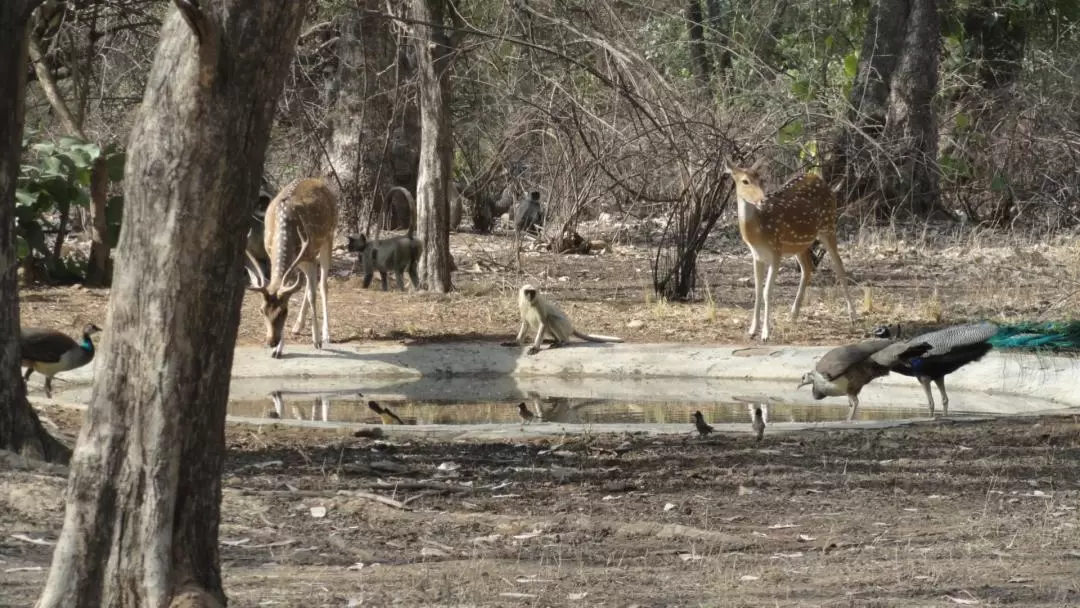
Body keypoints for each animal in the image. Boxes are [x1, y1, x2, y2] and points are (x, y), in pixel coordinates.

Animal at [245, 177, 336, 356]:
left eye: (284, 311)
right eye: (262, 310)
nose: (271, 342)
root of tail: (319, 181)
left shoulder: (309, 255)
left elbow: (312, 294)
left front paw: (317, 340)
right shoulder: (272, 254)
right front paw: (278, 350)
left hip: (328, 238)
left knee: (322, 285)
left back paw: (326, 334)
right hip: (303, 261)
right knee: (308, 284)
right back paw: (298, 326)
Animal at [721, 160, 855, 343]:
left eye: (761, 179)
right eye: (745, 181)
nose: (762, 200)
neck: (758, 232)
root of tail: (818, 178)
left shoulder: (776, 251)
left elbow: (767, 292)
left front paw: (766, 334)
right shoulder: (756, 256)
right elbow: (757, 291)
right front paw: (752, 330)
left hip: (828, 225)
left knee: (839, 265)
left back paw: (853, 316)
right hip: (800, 244)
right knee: (807, 268)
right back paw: (793, 315)